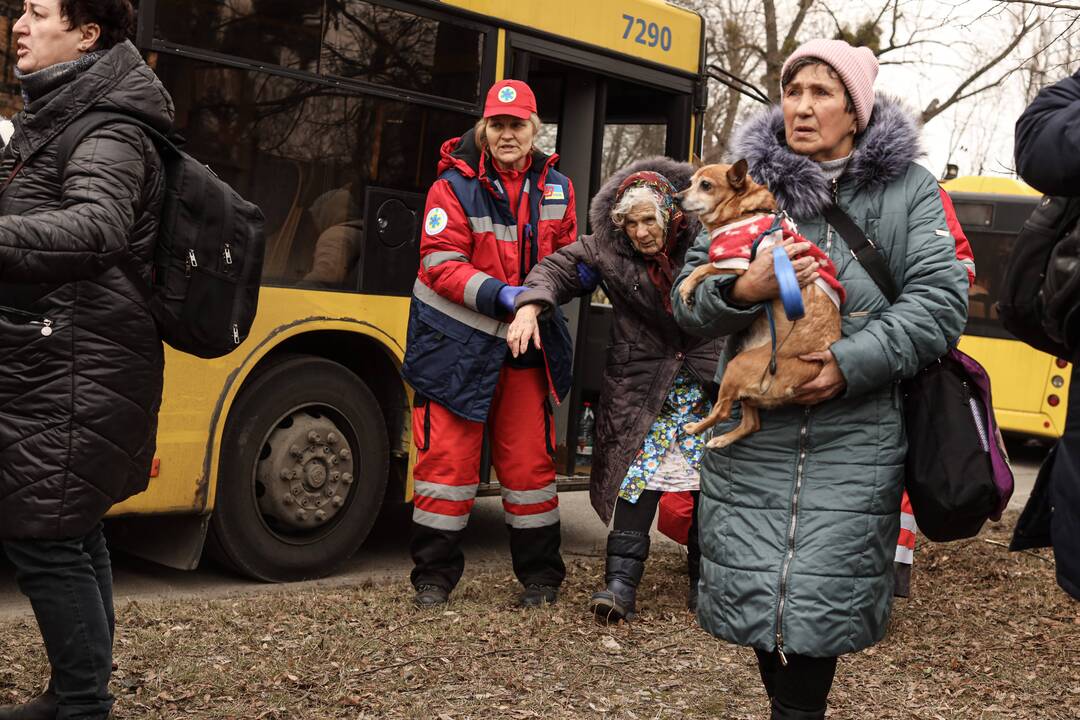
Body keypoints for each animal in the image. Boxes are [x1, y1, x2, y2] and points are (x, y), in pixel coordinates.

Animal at [673, 160, 842, 446]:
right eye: (690, 182)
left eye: (705, 185)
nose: (676, 198)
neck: (745, 211)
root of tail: (812, 369)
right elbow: (705, 267)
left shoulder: (737, 263)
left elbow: (703, 267)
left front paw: (686, 289)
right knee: (751, 423)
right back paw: (721, 440)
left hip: (737, 366)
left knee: (722, 410)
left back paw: (697, 429)